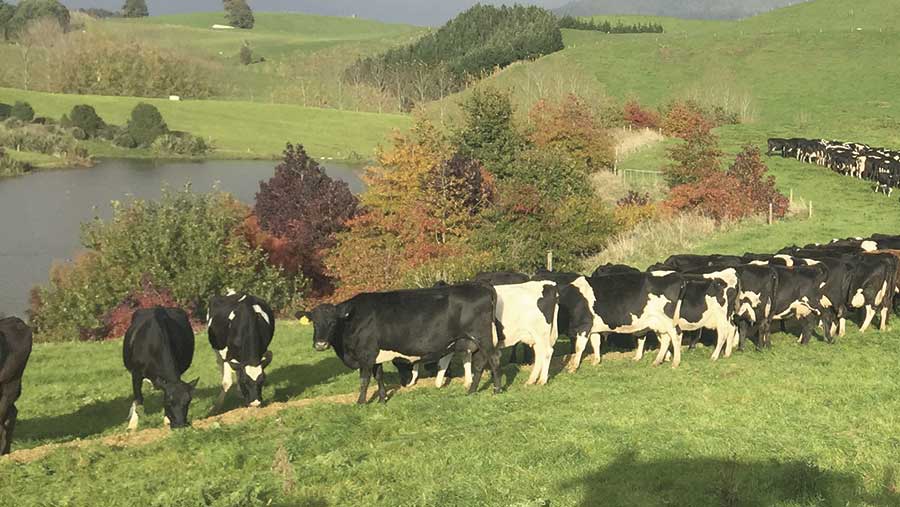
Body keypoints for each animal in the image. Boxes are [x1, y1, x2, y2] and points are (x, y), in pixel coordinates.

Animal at [300, 282, 500, 404]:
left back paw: (497, 390)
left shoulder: (366, 353)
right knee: (479, 364)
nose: (320, 344)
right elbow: (378, 377)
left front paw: (360, 402)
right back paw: (472, 391)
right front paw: (382, 399)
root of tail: (480, 286)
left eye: (333, 322)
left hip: (482, 337)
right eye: (314, 322)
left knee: (494, 359)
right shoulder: (376, 355)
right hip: (474, 342)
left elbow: (364, 380)